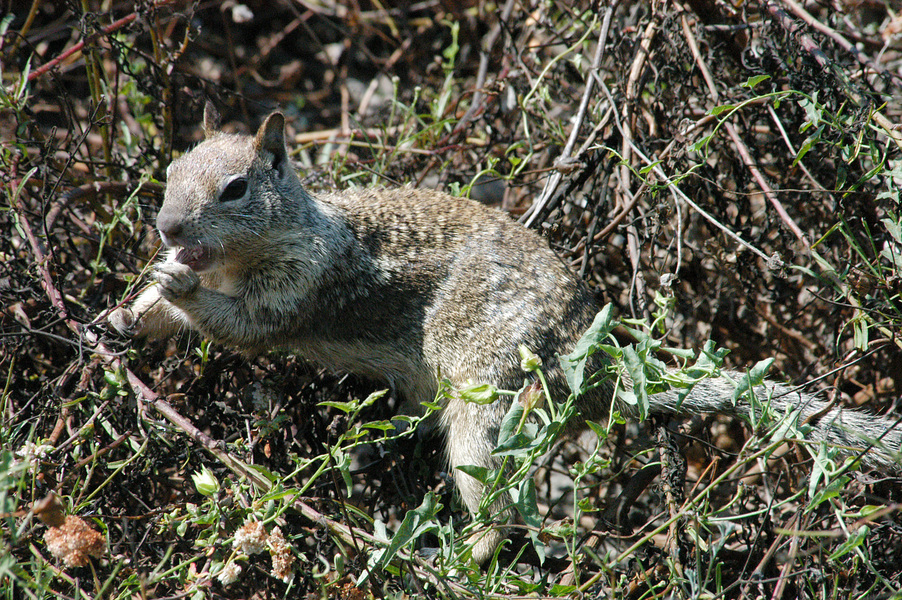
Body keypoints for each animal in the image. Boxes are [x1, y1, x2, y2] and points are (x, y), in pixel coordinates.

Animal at [109, 102, 902, 564]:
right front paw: (124, 314)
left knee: (493, 502)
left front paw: (179, 294)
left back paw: (464, 558)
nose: (167, 227)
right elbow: (159, 308)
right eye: (171, 171)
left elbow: (241, 327)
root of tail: (591, 357)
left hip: (485, 394)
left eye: (235, 189)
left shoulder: (297, 288)